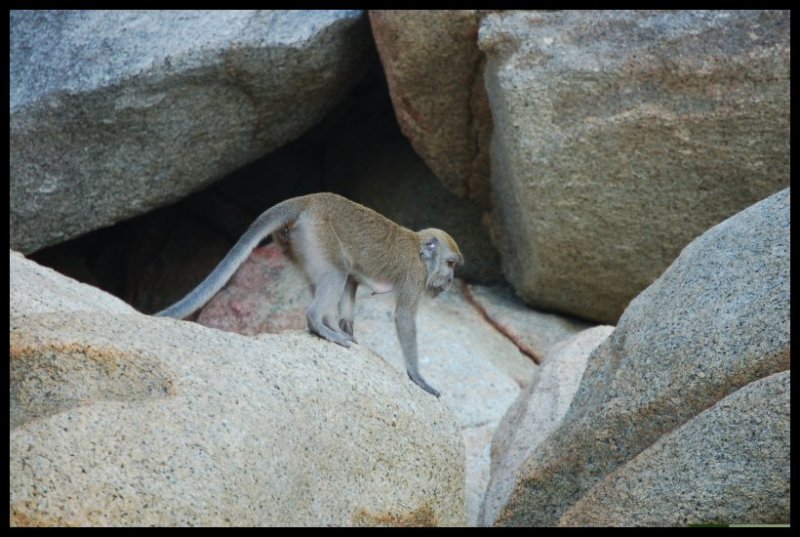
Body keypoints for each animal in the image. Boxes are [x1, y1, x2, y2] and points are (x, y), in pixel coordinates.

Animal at [156, 192, 463, 398]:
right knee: (336, 273)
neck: (420, 251)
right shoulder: (414, 275)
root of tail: (309, 200)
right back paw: (318, 323)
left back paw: (327, 325)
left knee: (335, 275)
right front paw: (418, 377)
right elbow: (403, 317)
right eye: (450, 264)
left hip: (296, 243)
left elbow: (352, 284)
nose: (449, 282)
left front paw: (347, 329)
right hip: (317, 233)